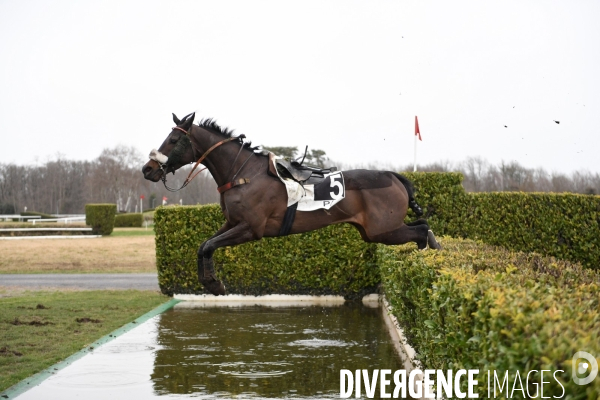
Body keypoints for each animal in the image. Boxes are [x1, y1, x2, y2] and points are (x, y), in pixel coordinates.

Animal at [141, 111, 440, 296]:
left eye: (174, 140)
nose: (148, 169)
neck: (242, 173)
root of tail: (394, 175)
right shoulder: (232, 223)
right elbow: (203, 245)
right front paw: (212, 284)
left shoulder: (251, 229)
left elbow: (209, 246)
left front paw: (214, 283)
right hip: (375, 231)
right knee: (422, 225)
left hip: (383, 230)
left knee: (422, 230)